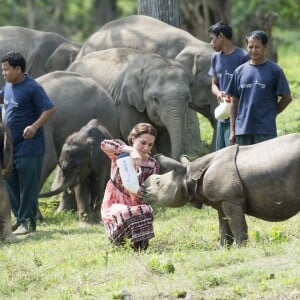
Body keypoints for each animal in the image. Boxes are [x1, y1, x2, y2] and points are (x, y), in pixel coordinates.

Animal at [67, 47, 202, 159]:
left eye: (187, 98)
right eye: (155, 99)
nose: (185, 157)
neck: (149, 62)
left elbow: (166, 139)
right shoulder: (125, 101)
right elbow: (131, 131)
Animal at [142, 134, 300, 246]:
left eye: (158, 182)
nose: (142, 188)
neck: (189, 175)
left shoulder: (230, 198)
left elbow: (236, 224)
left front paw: (240, 247)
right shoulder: (220, 199)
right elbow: (224, 225)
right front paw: (222, 248)